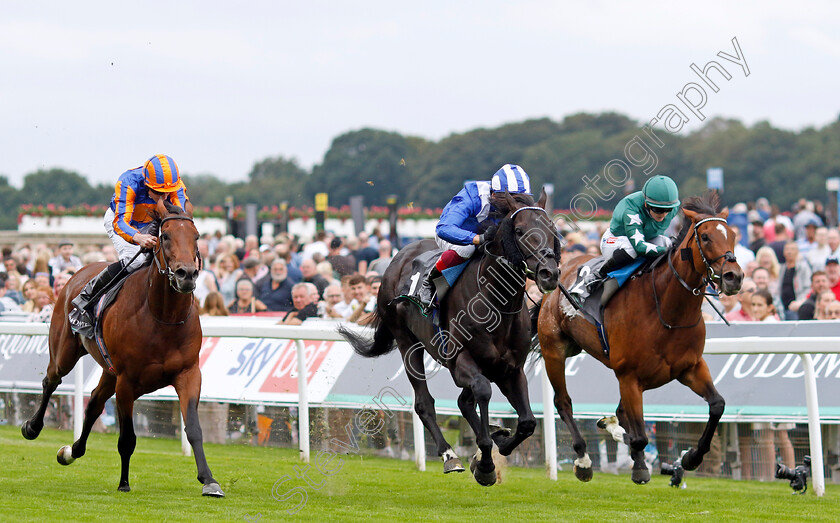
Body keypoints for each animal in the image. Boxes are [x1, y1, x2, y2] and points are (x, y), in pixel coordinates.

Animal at [20, 201, 223, 500]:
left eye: (196, 237)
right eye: (165, 236)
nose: (186, 274)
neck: (162, 316)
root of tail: (74, 276)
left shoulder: (188, 373)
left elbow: (194, 428)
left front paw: (209, 480)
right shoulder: (127, 382)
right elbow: (127, 438)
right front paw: (124, 482)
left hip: (108, 370)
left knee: (93, 403)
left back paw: (71, 451)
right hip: (64, 353)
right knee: (51, 380)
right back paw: (32, 427)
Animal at [338, 191, 560, 488]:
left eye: (552, 230)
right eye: (520, 231)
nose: (549, 273)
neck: (496, 305)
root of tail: (398, 256)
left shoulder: (511, 369)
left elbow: (526, 422)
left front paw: (498, 443)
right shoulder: (459, 361)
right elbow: (482, 392)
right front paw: (485, 464)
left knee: (464, 402)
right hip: (407, 342)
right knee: (424, 403)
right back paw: (449, 455)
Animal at [540, 190, 740, 486]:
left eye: (733, 235)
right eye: (705, 237)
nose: (734, 276)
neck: (667, 312)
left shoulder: (690, 367)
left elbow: (717, 405)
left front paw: (691, 458)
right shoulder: (629, 376)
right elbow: (639, 436)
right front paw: (636, 461)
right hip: (553, 350)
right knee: (563, 402)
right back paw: (584, 461)